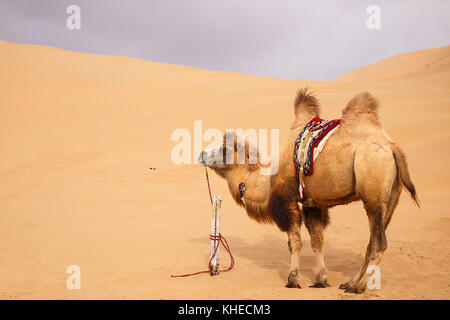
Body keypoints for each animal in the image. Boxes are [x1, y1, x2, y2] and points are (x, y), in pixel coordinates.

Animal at [199, 89, 420, 294]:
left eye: (224, 149)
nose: (201, 153)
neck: (267, 182)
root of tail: (393, 148)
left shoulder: (287, 200)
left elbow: (295, 242)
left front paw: (293, 280)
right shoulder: (313, 204)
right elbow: (317, 241)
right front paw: (320, 280)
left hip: (373, 191)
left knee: (379, 243)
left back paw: (358, 287)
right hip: (391, 198)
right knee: (372, 241)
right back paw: (350, 283)